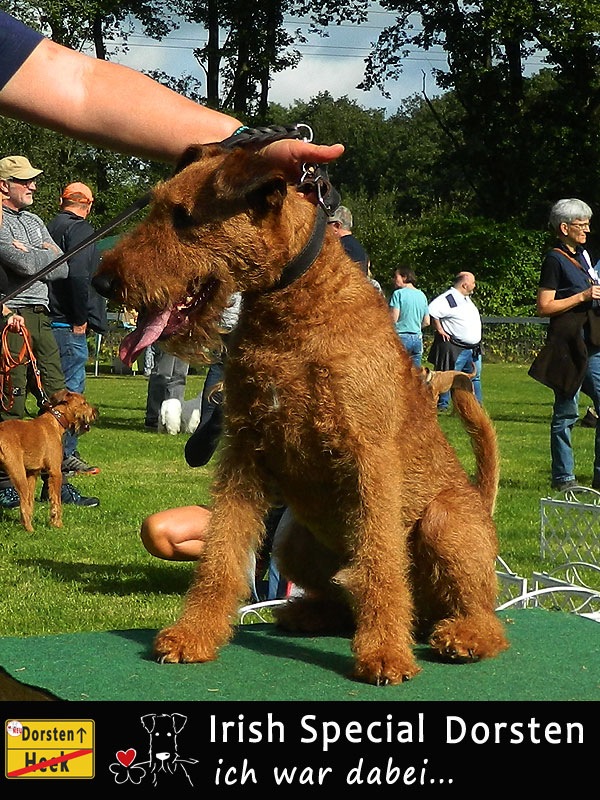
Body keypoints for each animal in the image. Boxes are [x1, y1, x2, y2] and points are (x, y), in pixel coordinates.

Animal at [0, 390, 98, 531]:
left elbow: (30, 502)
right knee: (22, 504)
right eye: (84, 403)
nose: (96, 412)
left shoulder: (32, 473)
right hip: (17, 472)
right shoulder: (55, 472)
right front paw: (57, 524)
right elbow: (55, 501)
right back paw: (30, 530)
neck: (56, 421)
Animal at [95, 143, 508, 685]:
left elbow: (382, 563)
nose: (102, 281)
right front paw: (193, 636)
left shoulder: (369, 457)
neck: (292, 303)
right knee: (345, 596)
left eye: (183, 216)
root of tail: (481, 501)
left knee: (483, 615)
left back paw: (461, 637)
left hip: (443, 521)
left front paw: (385, 656)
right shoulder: (245, 451)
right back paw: (305, 614)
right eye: (158, 205)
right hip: (292, 539)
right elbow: (221, 555)